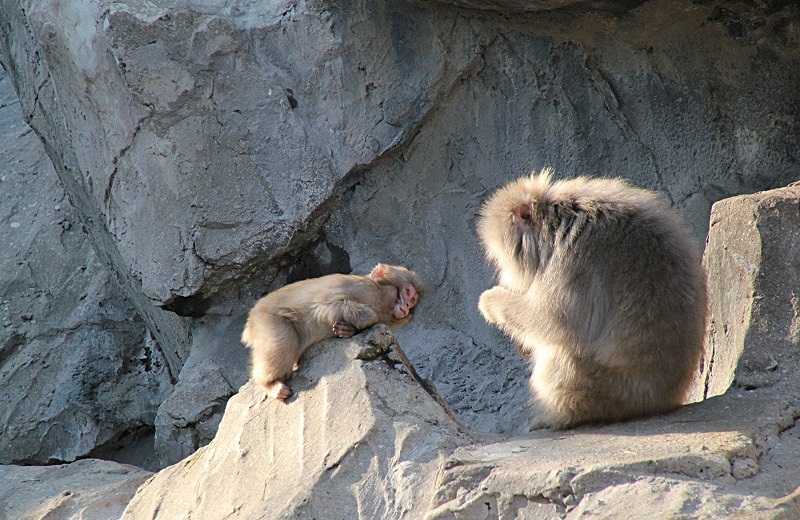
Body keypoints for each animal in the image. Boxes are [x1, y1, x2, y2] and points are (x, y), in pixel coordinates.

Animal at [239, 264, 422, 402]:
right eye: (407, 292)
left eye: (413, 300)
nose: (407, 306)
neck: (381, 299)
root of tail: (250, 322)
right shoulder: (363, 288)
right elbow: (326, 306)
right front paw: (366, 319)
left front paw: (348, 330)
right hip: (267, 321)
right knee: (284, 342)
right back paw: (269, 384)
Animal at [476, 169, 708, 428]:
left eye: (501, 258)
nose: (506, 274)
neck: (559, 223)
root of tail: (662, 401)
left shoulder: (572, 260)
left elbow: (554, 319)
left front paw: (491, 301)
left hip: (599, 390)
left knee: (562, 349)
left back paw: (556, 417)